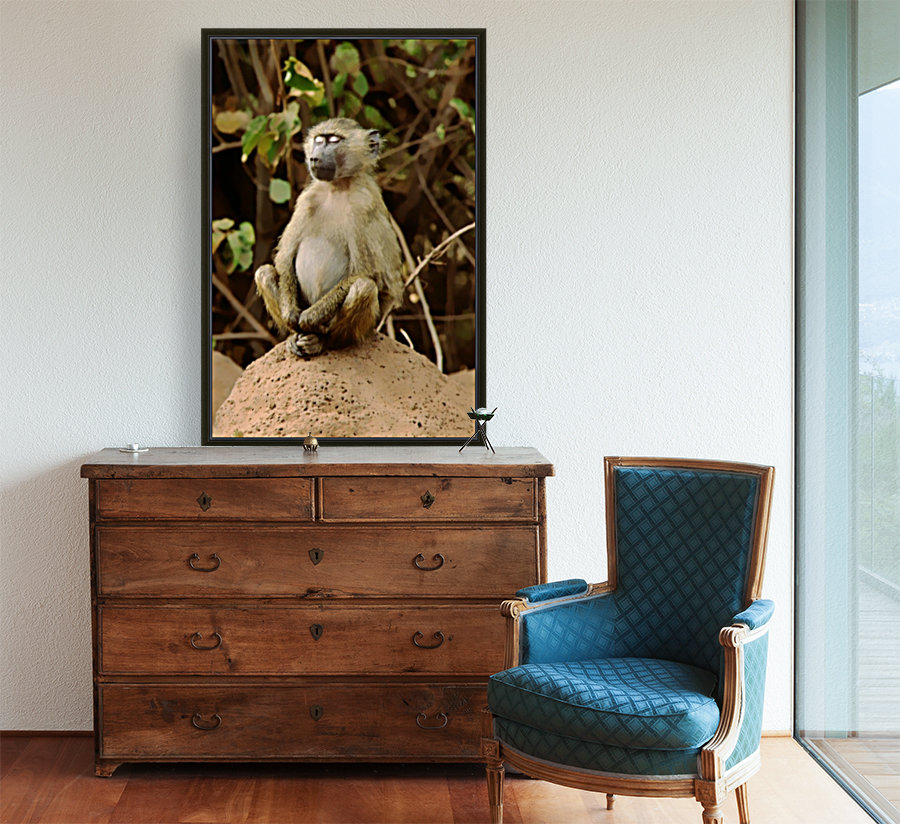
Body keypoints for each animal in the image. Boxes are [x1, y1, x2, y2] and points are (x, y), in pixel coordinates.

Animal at [254, 117, 403, 357]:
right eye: (318, 140)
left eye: (333, 140)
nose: (314, 157)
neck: (337, 188)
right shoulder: (307, 199)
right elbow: (284, 258)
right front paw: (290, 315)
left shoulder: (363, 204)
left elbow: (367, 273)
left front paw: (309, 317)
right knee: (264, 272)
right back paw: (294, 337)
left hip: (368, 326)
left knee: (364, 287)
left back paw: (323, 341)